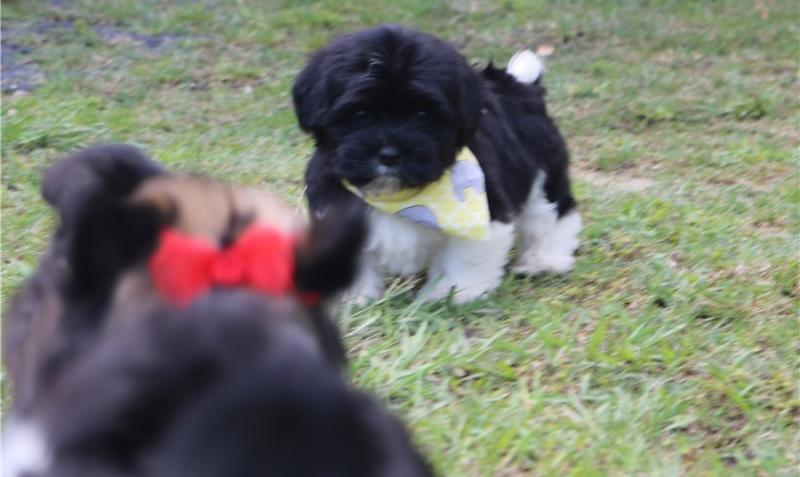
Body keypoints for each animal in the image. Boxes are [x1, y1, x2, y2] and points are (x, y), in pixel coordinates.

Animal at [294, 25, 580, 302]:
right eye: (359, 113)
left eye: (422, 114)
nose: (389, 154)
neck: (399, 197)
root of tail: (519, 85)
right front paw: (350, 298)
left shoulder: (486, 211)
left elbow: (465, 256)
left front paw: (455, 293)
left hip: (543, 171)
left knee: (551, 213)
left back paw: (543, 260)